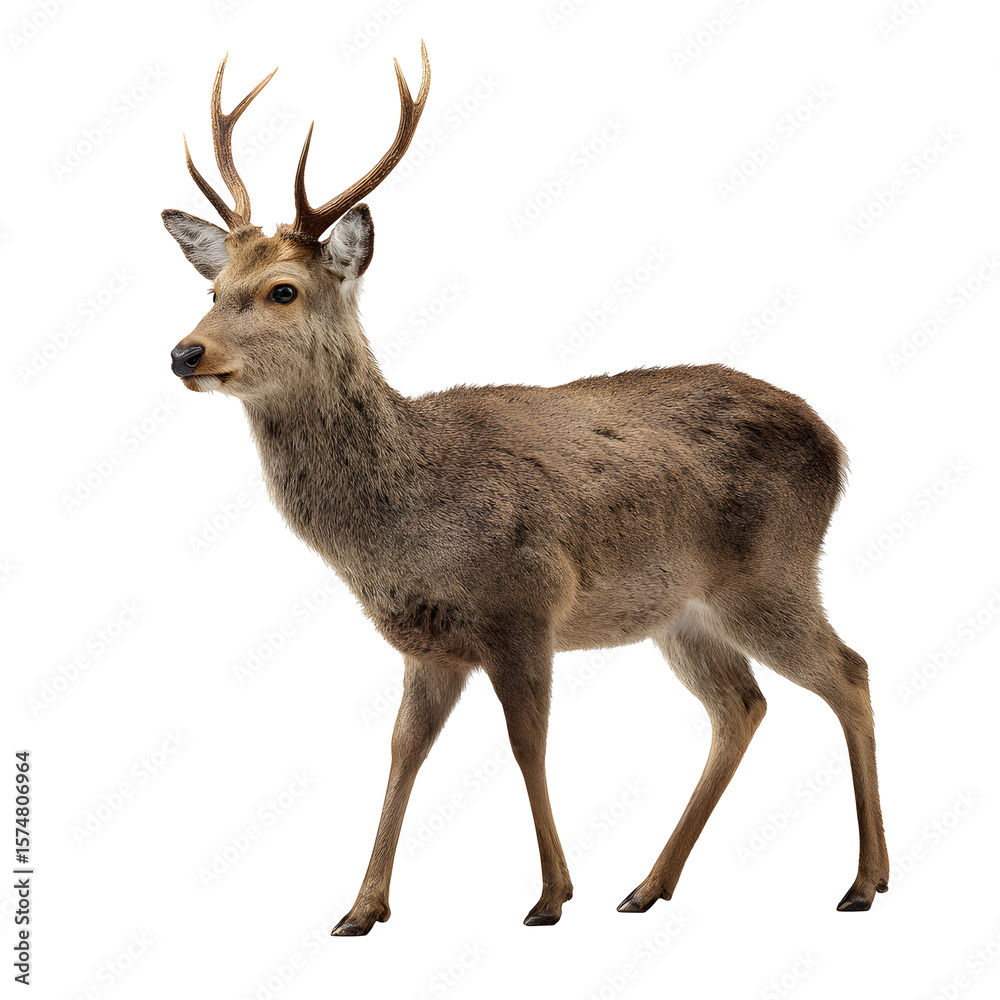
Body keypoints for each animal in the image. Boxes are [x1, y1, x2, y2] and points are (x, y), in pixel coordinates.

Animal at [162, 45, 889, 935]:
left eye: (284, 290)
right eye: (212, 289)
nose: (185, 353)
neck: (403, 523)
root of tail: (835, 442)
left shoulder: (525, 603)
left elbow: (525, 742)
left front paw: (549, 895)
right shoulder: (429, 643)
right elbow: (403, 750)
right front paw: (361, 907)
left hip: (772, 571)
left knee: (850, 672)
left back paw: (864, 881)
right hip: (684, 609)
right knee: (741, 706)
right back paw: (648, 885)